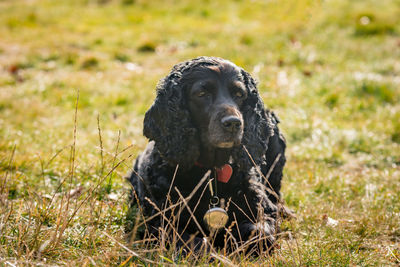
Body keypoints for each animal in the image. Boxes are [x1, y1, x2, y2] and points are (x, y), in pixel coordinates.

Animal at [126, 57, 286, 255]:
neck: (211, 172)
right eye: (202, 93)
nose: (234, 123)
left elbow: (260, 233)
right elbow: (196, 245)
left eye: (239, 94)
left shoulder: (263, 211)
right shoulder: (160, 225)